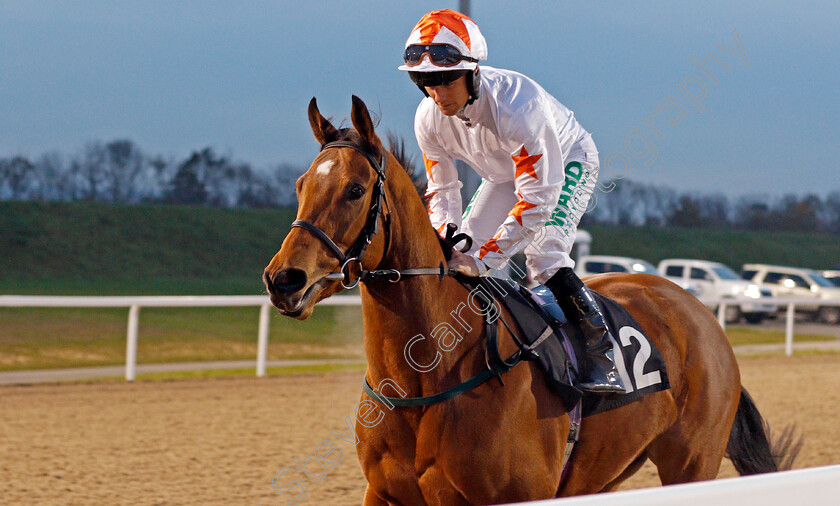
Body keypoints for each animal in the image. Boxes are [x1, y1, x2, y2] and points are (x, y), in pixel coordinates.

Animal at [264, 97, 800, 504]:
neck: (426, 377)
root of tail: (701, 315)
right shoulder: (384, 494)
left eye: (355, 190)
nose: (282, 279)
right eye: (301, 185)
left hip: (692, 462)